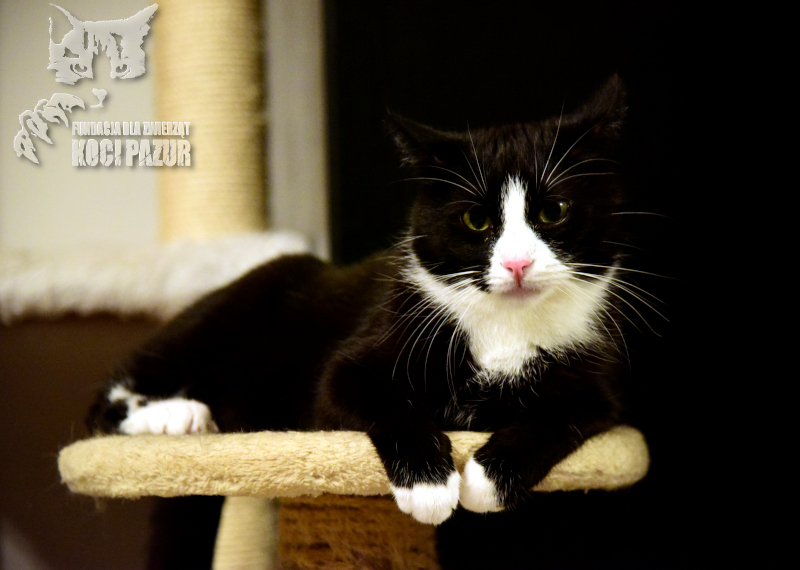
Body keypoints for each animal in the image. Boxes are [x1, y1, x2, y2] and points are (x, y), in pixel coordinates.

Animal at [88, 74, 642, 525]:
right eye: (476, 220)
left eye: (554, 211)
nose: (518, 264)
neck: (506, 327)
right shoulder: (357, 358)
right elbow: (376, 397)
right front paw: (430, 485)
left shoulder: (599, 388)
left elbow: (560, 417)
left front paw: (486, 480)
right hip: (225, 317)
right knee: (101, 409)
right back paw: (174, 416)